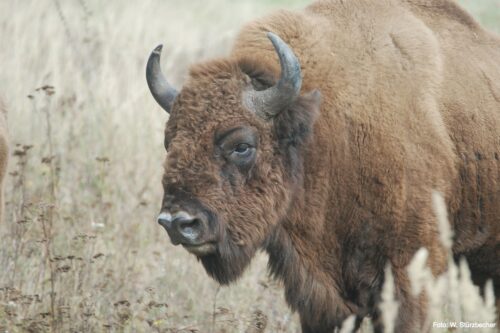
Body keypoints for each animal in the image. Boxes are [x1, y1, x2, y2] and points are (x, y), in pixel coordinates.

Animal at [146, 1, 498, 330]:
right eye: (169, 141)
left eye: (242, 145)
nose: (177, 222)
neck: (326, 131)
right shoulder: (321, 298)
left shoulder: (411, 278)